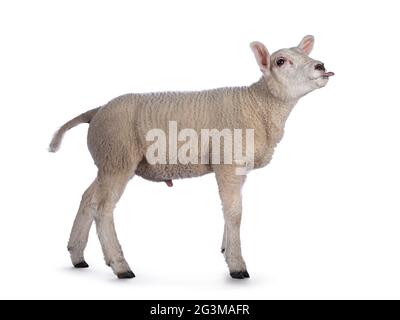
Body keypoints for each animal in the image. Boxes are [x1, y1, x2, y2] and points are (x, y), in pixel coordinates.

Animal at [48, 35, 332, 280]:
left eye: (306, 54)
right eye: (281, 61)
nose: (321, 66)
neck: (258, 104)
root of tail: (96, 111)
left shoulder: (237, 166)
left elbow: (231, 211)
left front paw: (226, 248)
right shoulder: (228, 162)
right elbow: (235, 213)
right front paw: (237, 265)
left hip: (107, 160)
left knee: (88, 199)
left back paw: (77, 255)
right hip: (118, 157)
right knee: (103, 208)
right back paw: (120, 266)